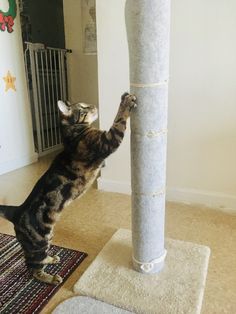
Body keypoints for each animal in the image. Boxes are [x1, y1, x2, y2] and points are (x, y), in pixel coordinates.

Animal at [0, 92, 136, 284]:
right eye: (84, 108)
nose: (94, 106)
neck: (73, 132)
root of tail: (15, 211)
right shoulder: (108, 141)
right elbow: (119, 120)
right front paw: (126, 101)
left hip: (48, 237)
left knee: (37, 259)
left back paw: (51, 258)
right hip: (38, 243)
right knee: (32, 267)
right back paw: (50, 278)